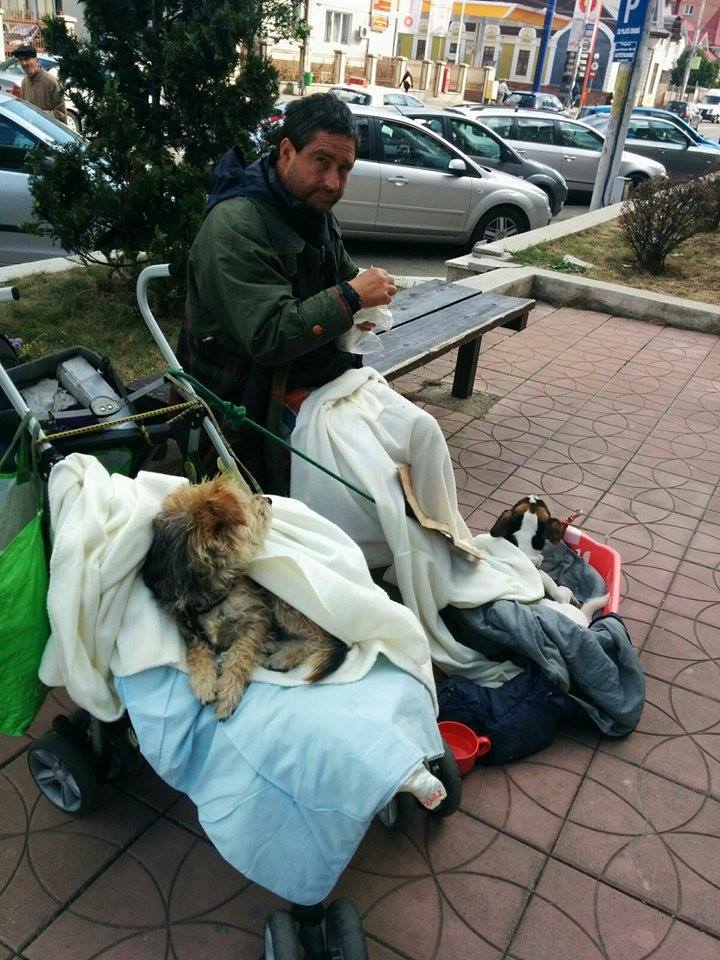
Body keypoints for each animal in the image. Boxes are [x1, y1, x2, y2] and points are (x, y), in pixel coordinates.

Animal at [142, 476, 348, 719]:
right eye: (246, 503)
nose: (268, 499)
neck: (210, 591)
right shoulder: (188, 629)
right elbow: (197, 651)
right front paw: (204, 681)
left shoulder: (257, 620)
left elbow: (239, 656)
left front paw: (228, 695)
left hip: (286, 605)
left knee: (322, 637)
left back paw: (284, 656)